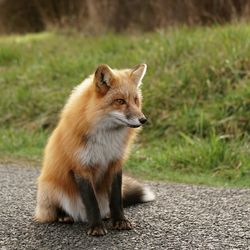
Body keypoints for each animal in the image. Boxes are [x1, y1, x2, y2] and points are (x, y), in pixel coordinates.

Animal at [33, 63, 154, 235]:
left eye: (135, 100)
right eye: (120, 101)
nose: (143, 119)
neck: (106, 141)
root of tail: (80, 216)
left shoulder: (115, 163)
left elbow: (116, 199)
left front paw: (119, 221)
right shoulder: (81, 167)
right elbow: (91, 202)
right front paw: (96, 227)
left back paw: (106, 216)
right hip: (51, 188)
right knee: (56, 211)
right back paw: (65, 216)